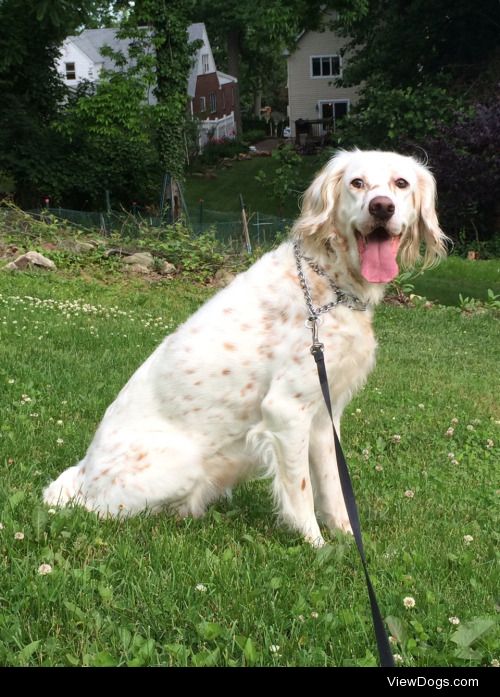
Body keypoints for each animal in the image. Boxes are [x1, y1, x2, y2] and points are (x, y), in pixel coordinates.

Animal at [45, 150, 448, 548]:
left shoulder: (324, 415)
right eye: (357, 183)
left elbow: (333, 489)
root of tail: (81, 472)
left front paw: (349, 539)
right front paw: (315, 545)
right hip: (181, 462)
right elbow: (301, 492)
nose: (382, 208)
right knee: (97, 511)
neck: (326, 283)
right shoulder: (286, 409)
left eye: (401, 183)